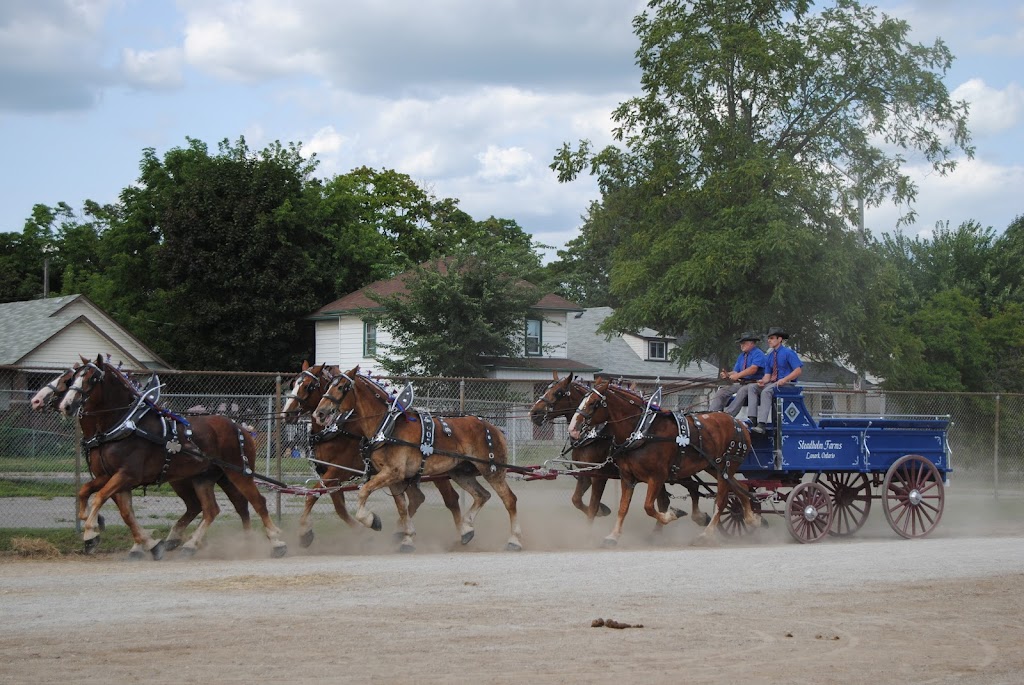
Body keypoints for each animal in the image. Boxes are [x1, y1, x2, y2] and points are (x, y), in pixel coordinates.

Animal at [59, 356, 286, 557]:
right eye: (73, 378)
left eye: (92, 379)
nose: (66, 405)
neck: (124, 425)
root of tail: (240, 427)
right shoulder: (110, 477)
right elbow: (102, 500)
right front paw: (147, 544)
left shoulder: (126, 475)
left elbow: (100, 497)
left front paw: (90, 532)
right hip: (207, 476)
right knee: (217, 508)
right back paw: (205, 544)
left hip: (238, 472)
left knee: (257, 502)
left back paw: (276, 542)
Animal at [282, 362, 468, 548]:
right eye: (294, 384)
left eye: (308, 386)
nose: (287, 413)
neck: (339, 430)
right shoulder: (330, 475)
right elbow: (339, 507)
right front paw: (363, 531)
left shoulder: (339, 471)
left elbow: (312, 496)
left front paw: (303, 533)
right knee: (417, 498)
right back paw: (401, 531)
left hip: (437, 471)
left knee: (451, 499)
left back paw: (463, 533)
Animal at [311, 368, 524, 548]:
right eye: (328, 385)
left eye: (341, 387)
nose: (319, 413)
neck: (388, 426)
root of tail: (494, 428)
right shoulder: (394, 478)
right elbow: (402, 507)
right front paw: (407, 537)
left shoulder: (393, 472)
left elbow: (364, 491)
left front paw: (373, 520)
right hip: (461, 472)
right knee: (482, 495)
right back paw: (466, 528)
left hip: (491, 470)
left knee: (509, 499)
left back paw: (514, 540)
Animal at [532, 374, 708, 524]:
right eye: (546, 388)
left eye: (558, 392)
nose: (534, 413)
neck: (595, 435)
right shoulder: (586, 473)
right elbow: (576, 500)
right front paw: (603, 510)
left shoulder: (599, 475)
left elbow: (592, 506)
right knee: (669, 498)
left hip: (675, 473)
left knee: (692, 487)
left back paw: (699, 518)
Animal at [569, 376, 761, 540]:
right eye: (582, 400)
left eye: (593, 403)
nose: (572, 428)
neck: (642, 431)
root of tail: (740, 423)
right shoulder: (627, 477)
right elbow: (623, 507)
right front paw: (613, 536)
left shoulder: (657, 477)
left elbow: (648, 506)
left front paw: (672, 515)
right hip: (714, 467)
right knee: (740, 488)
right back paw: (751, 518)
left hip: (726, 466)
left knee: (722, 499)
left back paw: (707, 533)